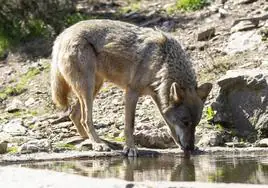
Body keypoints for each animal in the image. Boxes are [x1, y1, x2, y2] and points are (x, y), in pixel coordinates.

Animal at [51, 19, 213, 157]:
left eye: (195, 124)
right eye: (185, 122)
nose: (190, 148)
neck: (162, 61)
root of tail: (63, 34)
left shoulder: (158, 97)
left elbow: (169, 125)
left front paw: (179, 145)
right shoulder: (131, 93)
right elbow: (130, 125)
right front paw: (130, 148)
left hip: (94, 87)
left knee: (74, 114)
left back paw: (96, 140)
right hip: (88, 88)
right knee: (85, 118)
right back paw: (98, 144)